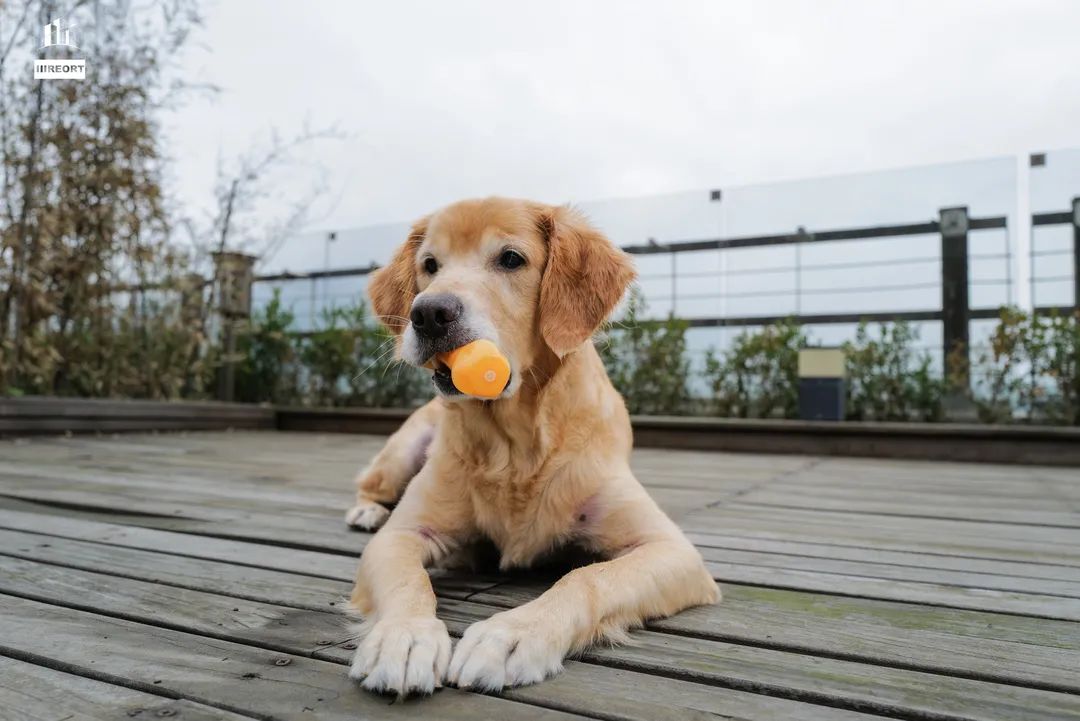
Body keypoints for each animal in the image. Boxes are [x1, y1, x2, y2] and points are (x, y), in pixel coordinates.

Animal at [343, 195, 717, 690]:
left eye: (510, 259)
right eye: (430, 265)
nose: (427, 313)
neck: (514, 447)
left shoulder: (670, 549)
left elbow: (587, 579)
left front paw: (512, 635)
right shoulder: (402, 535)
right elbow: (409, 581)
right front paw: (403, 636)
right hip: (401, 452)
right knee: (370, 485)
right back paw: (366, 511)